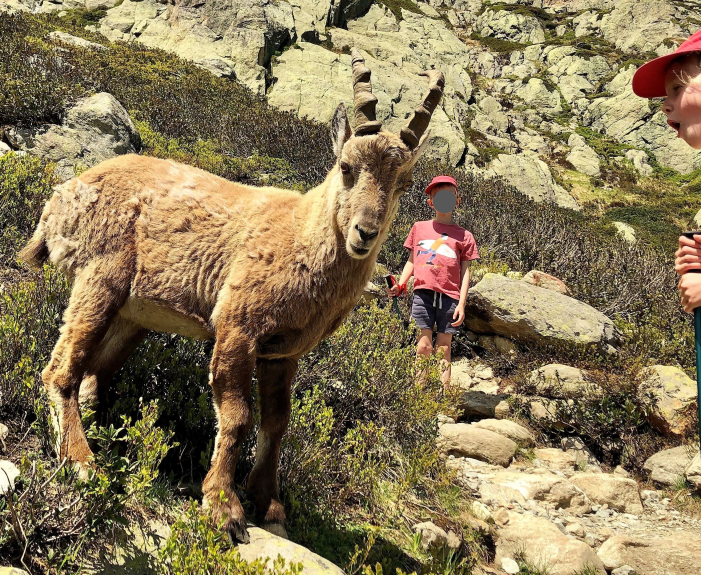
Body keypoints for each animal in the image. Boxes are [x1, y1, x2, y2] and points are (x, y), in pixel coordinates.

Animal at [20, 49, 444, 543]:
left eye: (405, 184)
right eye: (346, 167)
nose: (364, 233)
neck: (301, 236)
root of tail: (60, 199)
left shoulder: (283, 352)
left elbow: (277, 422)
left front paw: (269, 503)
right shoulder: (238, 326)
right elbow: (238, 415)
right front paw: (223, 506)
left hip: (133, 314)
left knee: (93, 377)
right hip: (100, 275)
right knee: (60, 370)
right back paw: (82, 461)